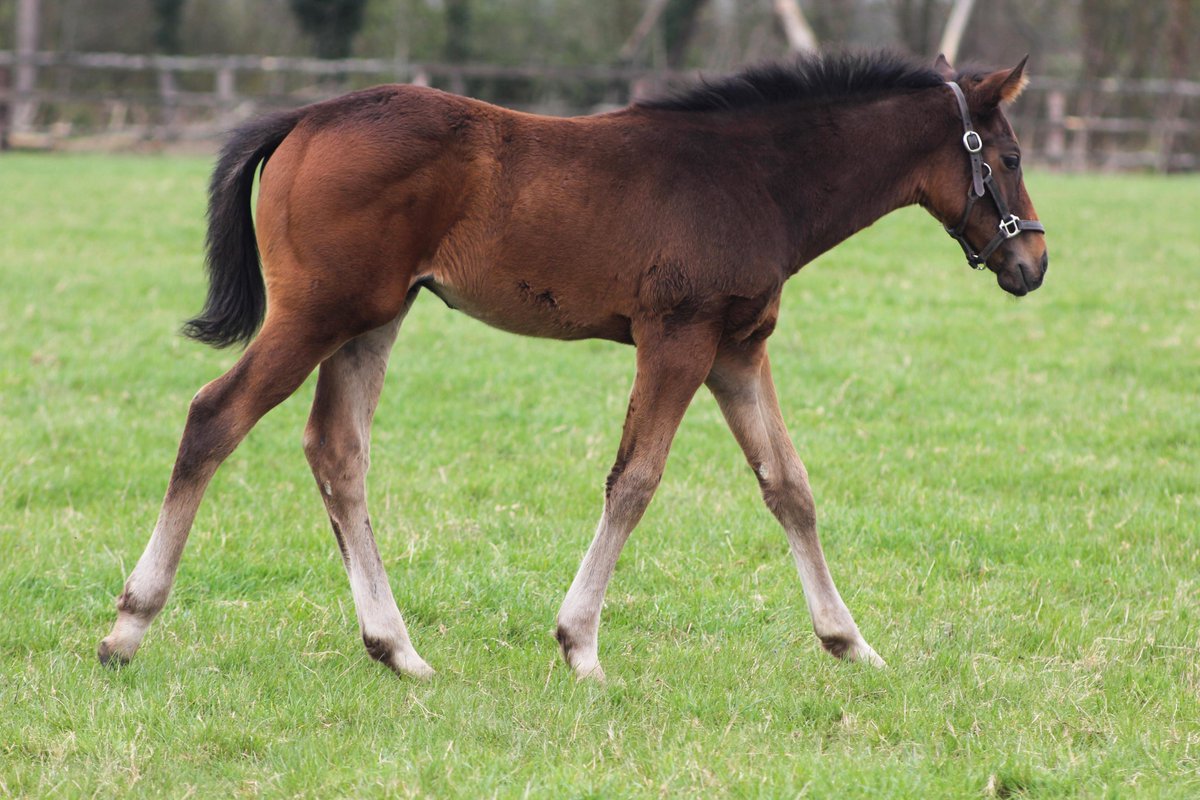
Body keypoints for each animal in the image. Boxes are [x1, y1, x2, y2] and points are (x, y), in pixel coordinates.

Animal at [98, 50, 1046, 681]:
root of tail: (308, 115)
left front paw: (850, 642)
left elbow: (789, 486)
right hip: (316, 315)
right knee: (214, 418)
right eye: (1008, 157)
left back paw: (397, 649)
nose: (1031, 262)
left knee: (336, 451)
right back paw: (128, 628)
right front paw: (580, 645)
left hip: (372, 319)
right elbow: (636, 479)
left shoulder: (738, 347)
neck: (754, 176)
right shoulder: (678, 336)